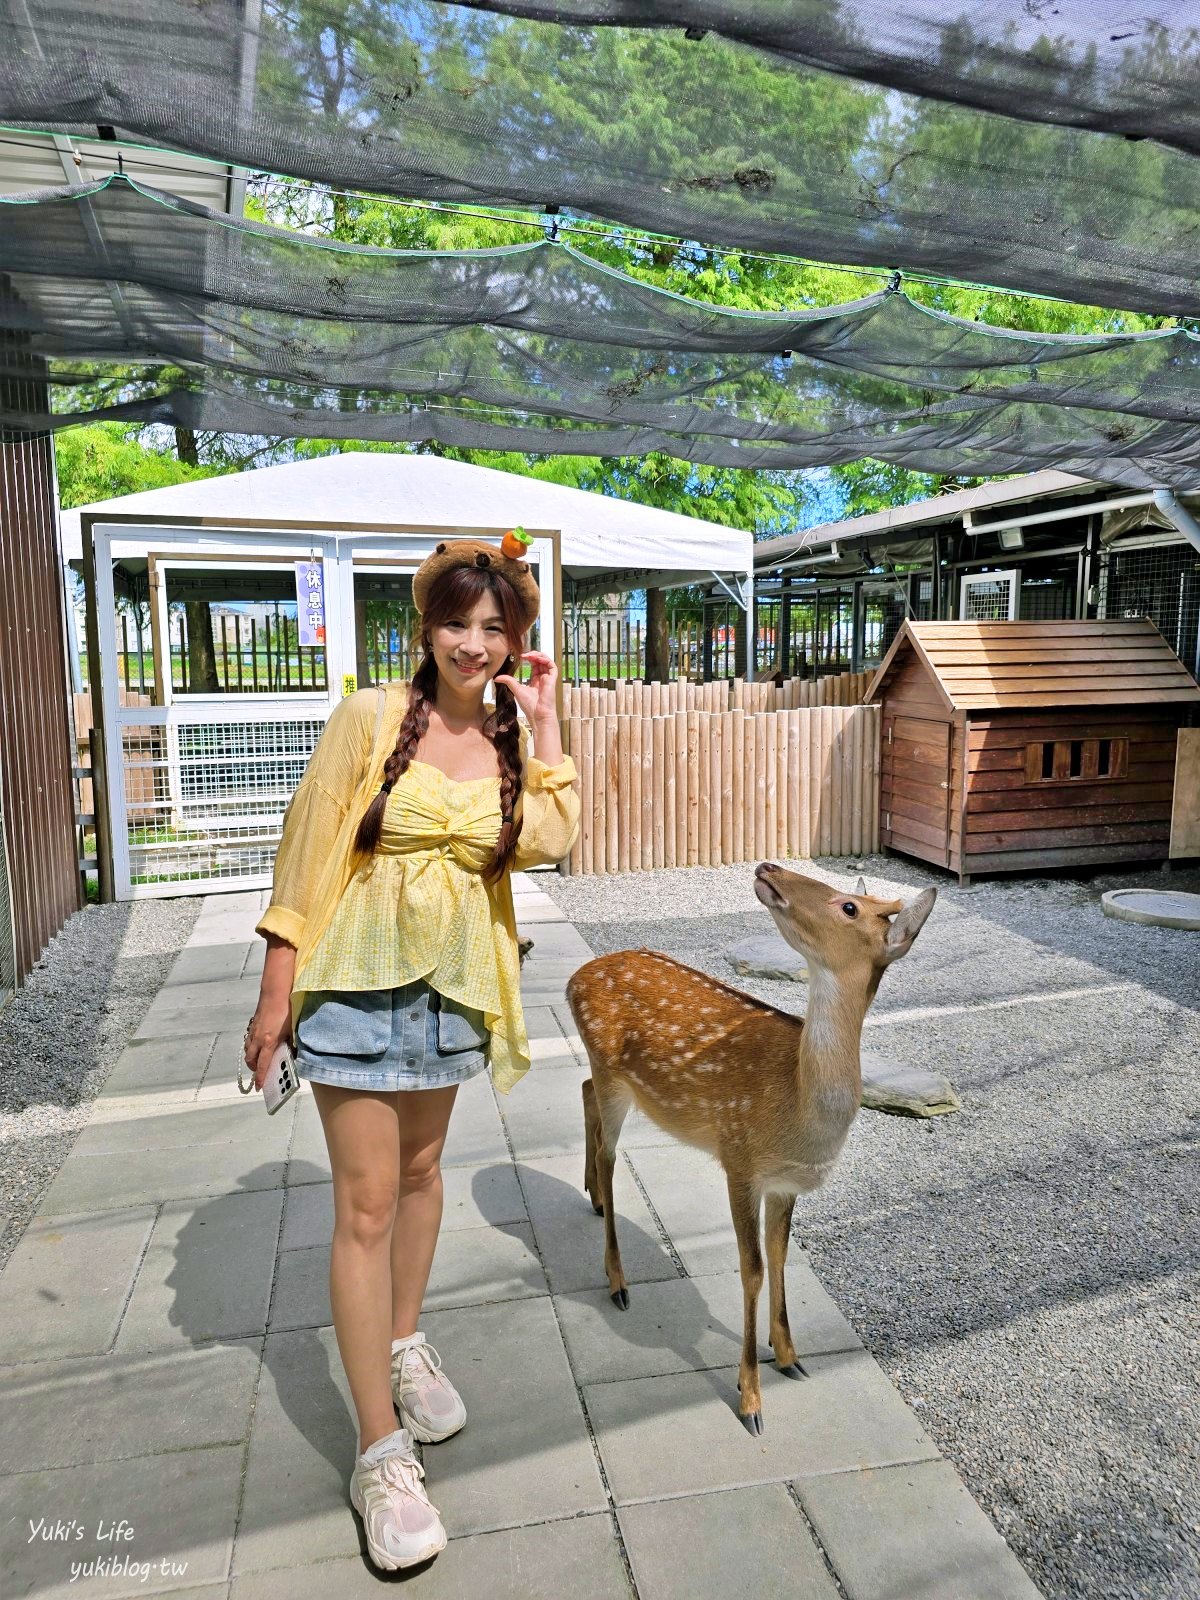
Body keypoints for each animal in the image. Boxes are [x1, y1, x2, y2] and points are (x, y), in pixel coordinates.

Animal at [566, 864, 940, 1440]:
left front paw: (789, 1356)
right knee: (609, 1152)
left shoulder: (784, 1182)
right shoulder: (738, 1158)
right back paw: (617, 1280)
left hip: (610, 1079)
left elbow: (781, 1254)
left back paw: (595, 1199)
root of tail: (575, 976)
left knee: (584, 1094)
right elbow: (753, 1268)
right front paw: (750, 1400)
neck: (797, 1113)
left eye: (849, 906)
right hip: (612, 1073)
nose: (768, 867)